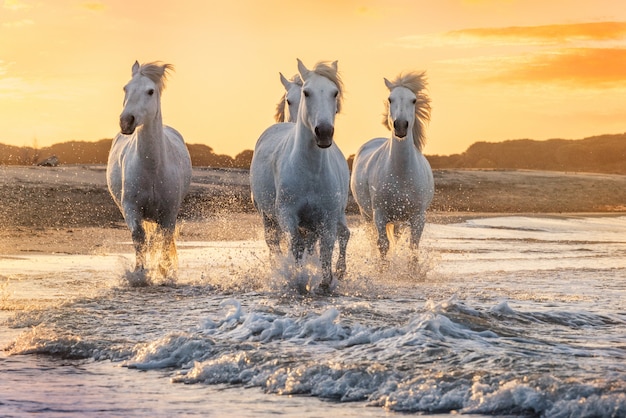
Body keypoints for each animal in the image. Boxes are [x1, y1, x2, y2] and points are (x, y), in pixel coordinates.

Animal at [106, 61, 191, 278]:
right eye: (125, 88)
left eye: (150, 91)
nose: (126, 121)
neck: (152, 169)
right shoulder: (131, 208)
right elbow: (139, 237)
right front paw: (140, 273)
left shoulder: (169, 212)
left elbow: (162, 238)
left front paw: (164, 271)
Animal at [250, 58, 352, 292]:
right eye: (307, 92)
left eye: (334, 92)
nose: (324, 132)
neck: (310, 171)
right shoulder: (287, 214)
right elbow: (295, 246)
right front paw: (297, 278)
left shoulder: (327, 216)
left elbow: (326, 247)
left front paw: (325, 281)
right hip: (268, 217)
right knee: (274, 244)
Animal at [348, 73, 432, 260]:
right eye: (390, 99)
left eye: (414, 100)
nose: (400, 126)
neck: (401, 174)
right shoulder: (379, 214)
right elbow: (383, 245)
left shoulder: (418, 217)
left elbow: (413, 248)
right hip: (366, 215)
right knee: (373, 240)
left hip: (398, 220)